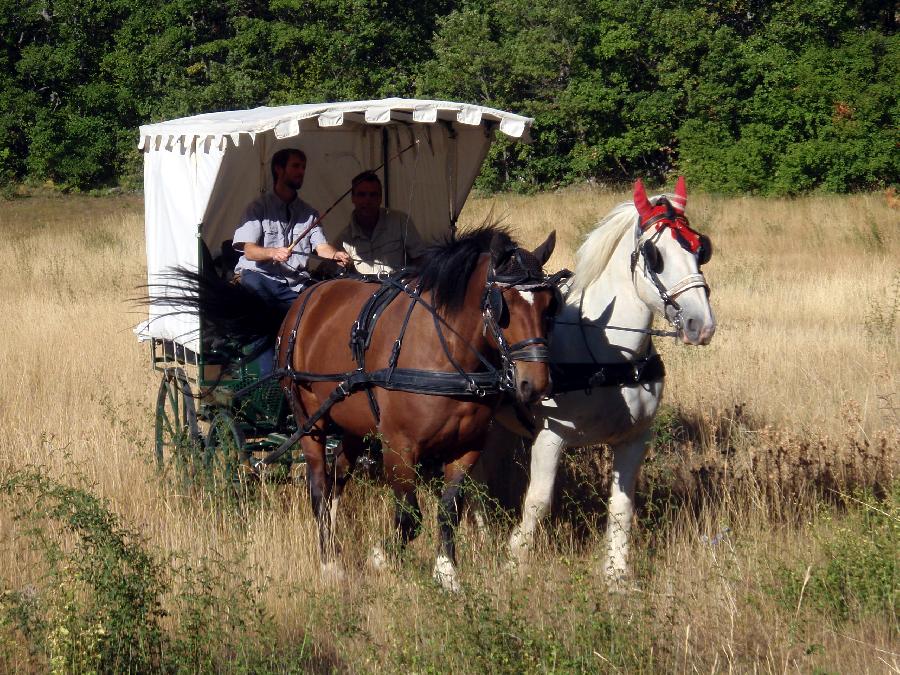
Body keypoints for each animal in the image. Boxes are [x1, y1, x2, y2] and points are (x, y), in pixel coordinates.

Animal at [472, 178, 716, 580]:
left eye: (701, 249)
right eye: (655, 255)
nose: (702, 324)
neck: (608, 355)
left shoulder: (634, 439)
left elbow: (622, 506)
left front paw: (616, 574)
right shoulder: (550, 437)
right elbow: (537, 502)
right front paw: (514, 563)